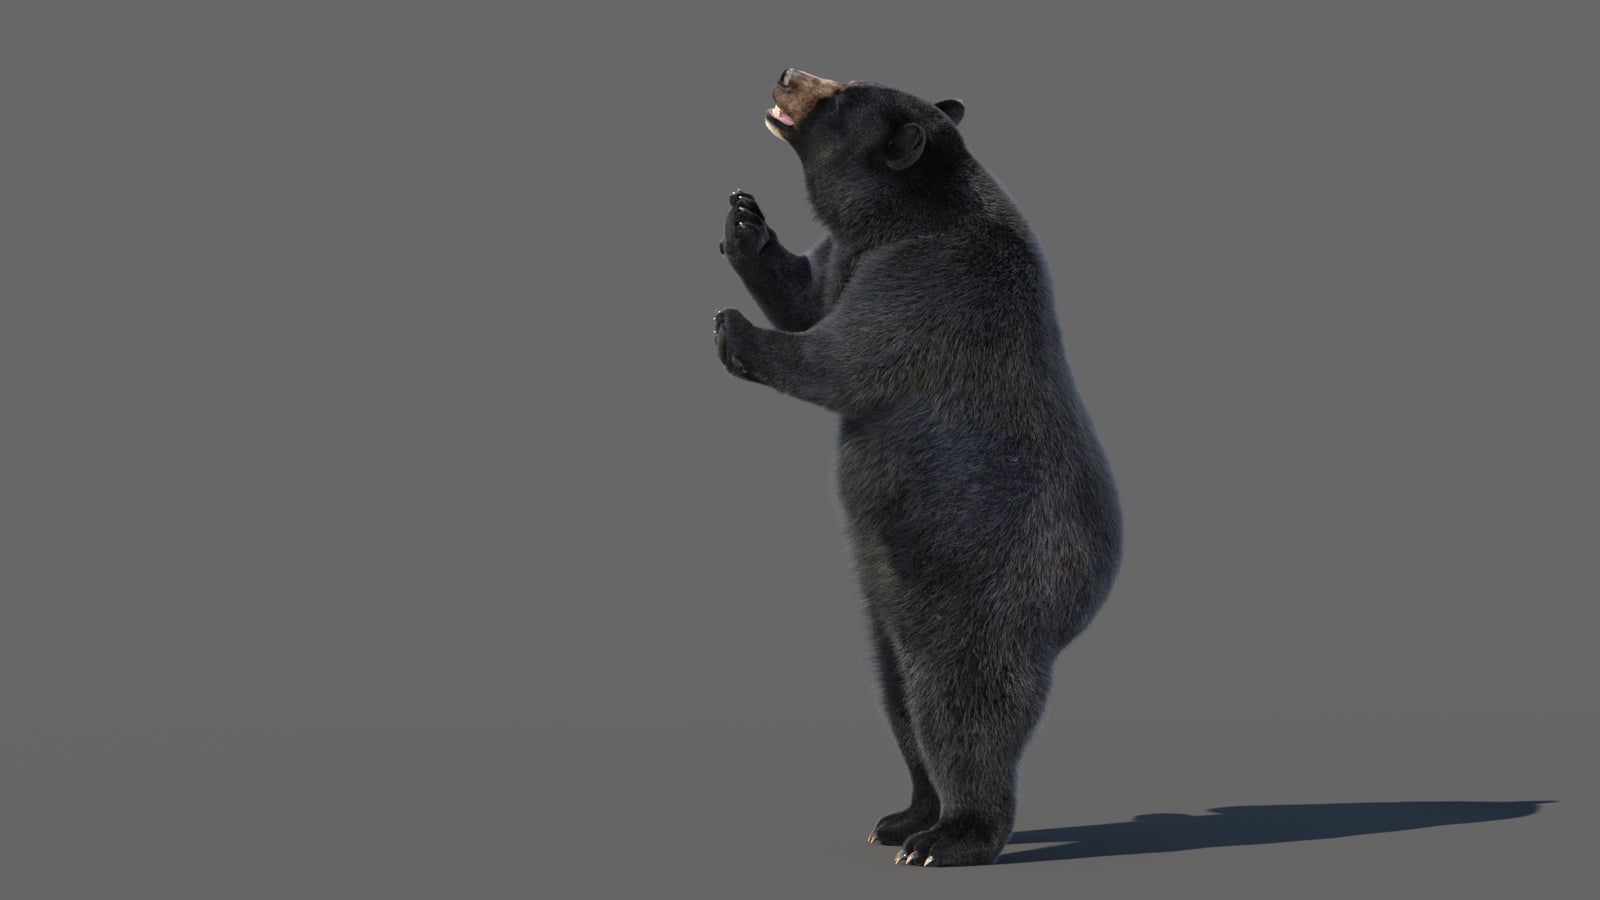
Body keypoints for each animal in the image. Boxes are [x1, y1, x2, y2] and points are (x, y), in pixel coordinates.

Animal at [713, 69, 1122, 867]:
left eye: (840, 96)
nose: (787, 74)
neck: (901, 216)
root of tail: (1088, 599)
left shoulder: (932, 278)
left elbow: (847, 356)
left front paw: (732, 329)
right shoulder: (851, 256)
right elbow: (809, 298)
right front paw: (745, 223)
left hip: (984, 590)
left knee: (959, 707)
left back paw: (952, 836)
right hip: (889, 601)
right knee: (897, 695)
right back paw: (904, 816)